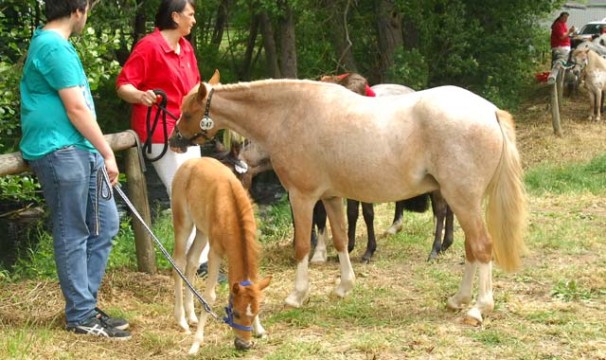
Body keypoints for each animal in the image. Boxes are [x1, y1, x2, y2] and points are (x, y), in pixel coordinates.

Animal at [169, 75, 528, 324]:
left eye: (187, 112)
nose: (174, 140)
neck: (289, 114)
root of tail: (489, 111)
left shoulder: (302, 197)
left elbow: (304, 245)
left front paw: (297, 295)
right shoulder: (331, 197)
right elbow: (341, 239)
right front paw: (343, 287)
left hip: (461, 198)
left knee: (482, 246)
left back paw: (478, 308)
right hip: (462, 200)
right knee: (471, 248)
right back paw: (459, 299)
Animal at [173, 157, 274, 354]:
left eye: (255, 313)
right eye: (236, 313)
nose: (244, 345)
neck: (231, 209)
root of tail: (190, 162)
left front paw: (259, 330)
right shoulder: (215, 251)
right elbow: (209, 296)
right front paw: (195, 345)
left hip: (202, 229)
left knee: (192, 261)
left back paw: (191, 316)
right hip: (183, 222)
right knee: (178, 263)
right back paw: (182, 321)